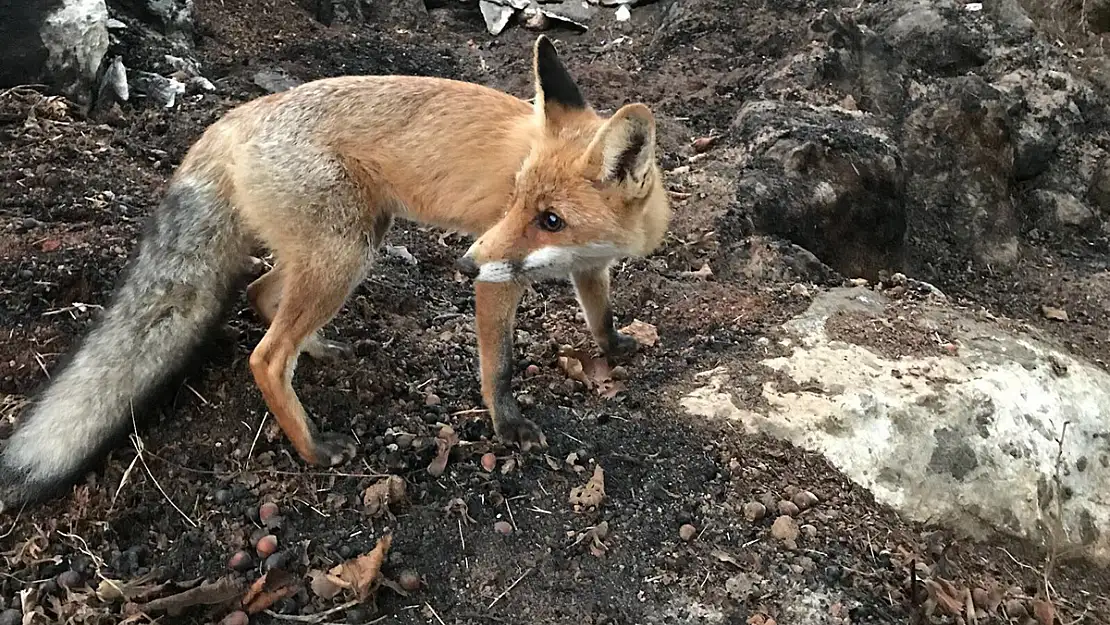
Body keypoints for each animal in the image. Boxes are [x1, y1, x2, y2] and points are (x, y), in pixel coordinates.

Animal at [0, 35, 666, 512]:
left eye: (550, 219)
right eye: (515, 201)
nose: (462, 263)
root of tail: (235, 117)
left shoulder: (592, 266)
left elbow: (601, 314)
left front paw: (614, 346)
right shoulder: (498, 277)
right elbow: (497, 366)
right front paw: (508, 425)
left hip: (340, 248)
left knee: (261, 296)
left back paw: (320, 351)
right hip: (348, 253)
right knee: (266, 356)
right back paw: (314, 448)